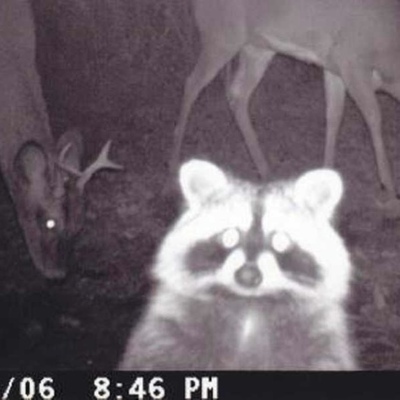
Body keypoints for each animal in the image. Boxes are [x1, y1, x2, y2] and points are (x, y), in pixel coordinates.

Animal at [119, 160, 357, 370]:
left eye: (280, 241)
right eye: (229, 236)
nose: (248, 275)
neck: (249, 303)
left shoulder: (322, 345)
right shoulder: (166, 334)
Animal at [170, 0, 400, 214]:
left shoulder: (335, 68)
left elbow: (334, 116)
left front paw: (326, 174)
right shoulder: (352, 61)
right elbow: (374, 118)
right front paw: (389, 192)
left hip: (256, 47)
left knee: (237, 94)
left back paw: (265, 171)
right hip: (221, 36)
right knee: (192, 84)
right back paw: (174, 163)